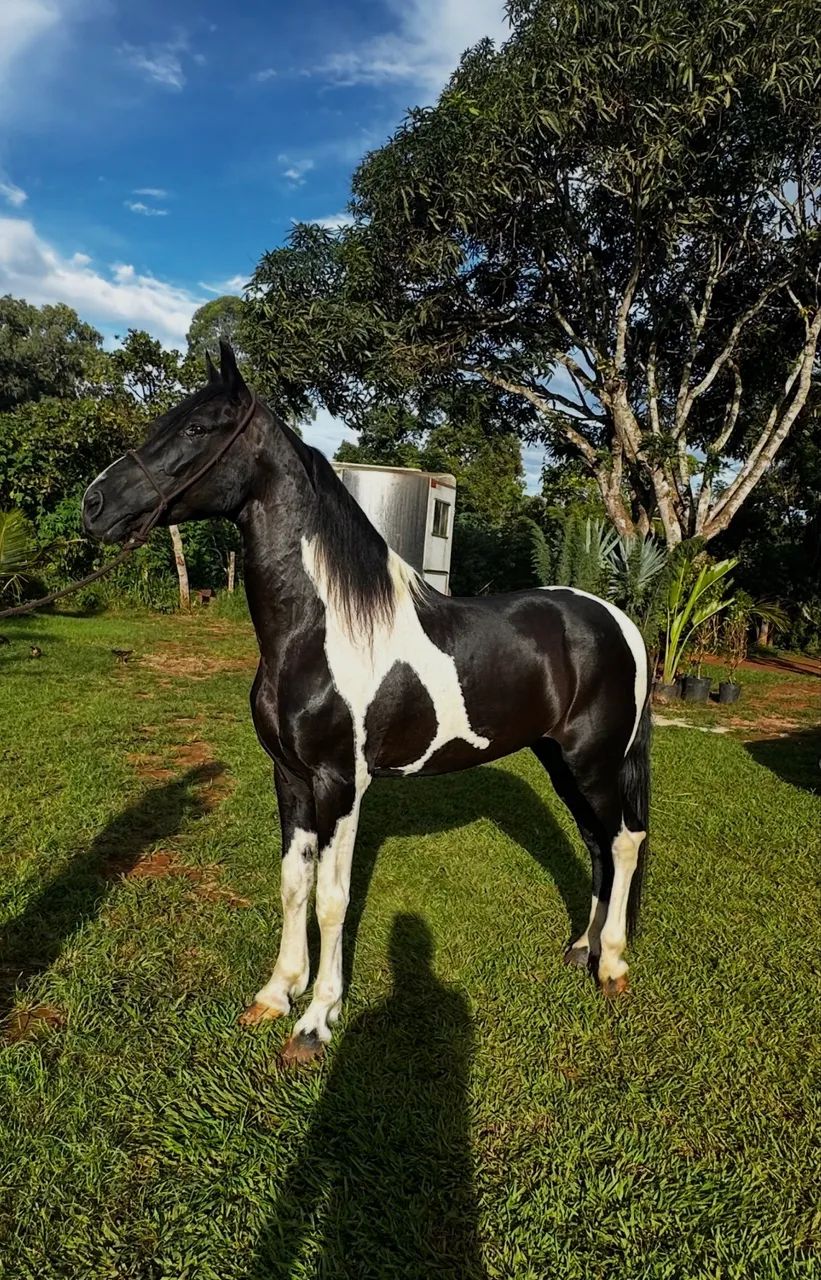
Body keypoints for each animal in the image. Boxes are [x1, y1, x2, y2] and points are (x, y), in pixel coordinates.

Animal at [83, 342, 650, 1064]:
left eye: (197, 429)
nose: (94, 504)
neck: (320, 629)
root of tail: (615, 619)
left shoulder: (341, 783)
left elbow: (332, 897)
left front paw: (315, 1019)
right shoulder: (290, 777)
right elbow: (293, 884)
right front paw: (276, 993)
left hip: (594, 762)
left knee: (624, 841)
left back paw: (613, 964)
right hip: (561, 762)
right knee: (596, 843)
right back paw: (581, 948)